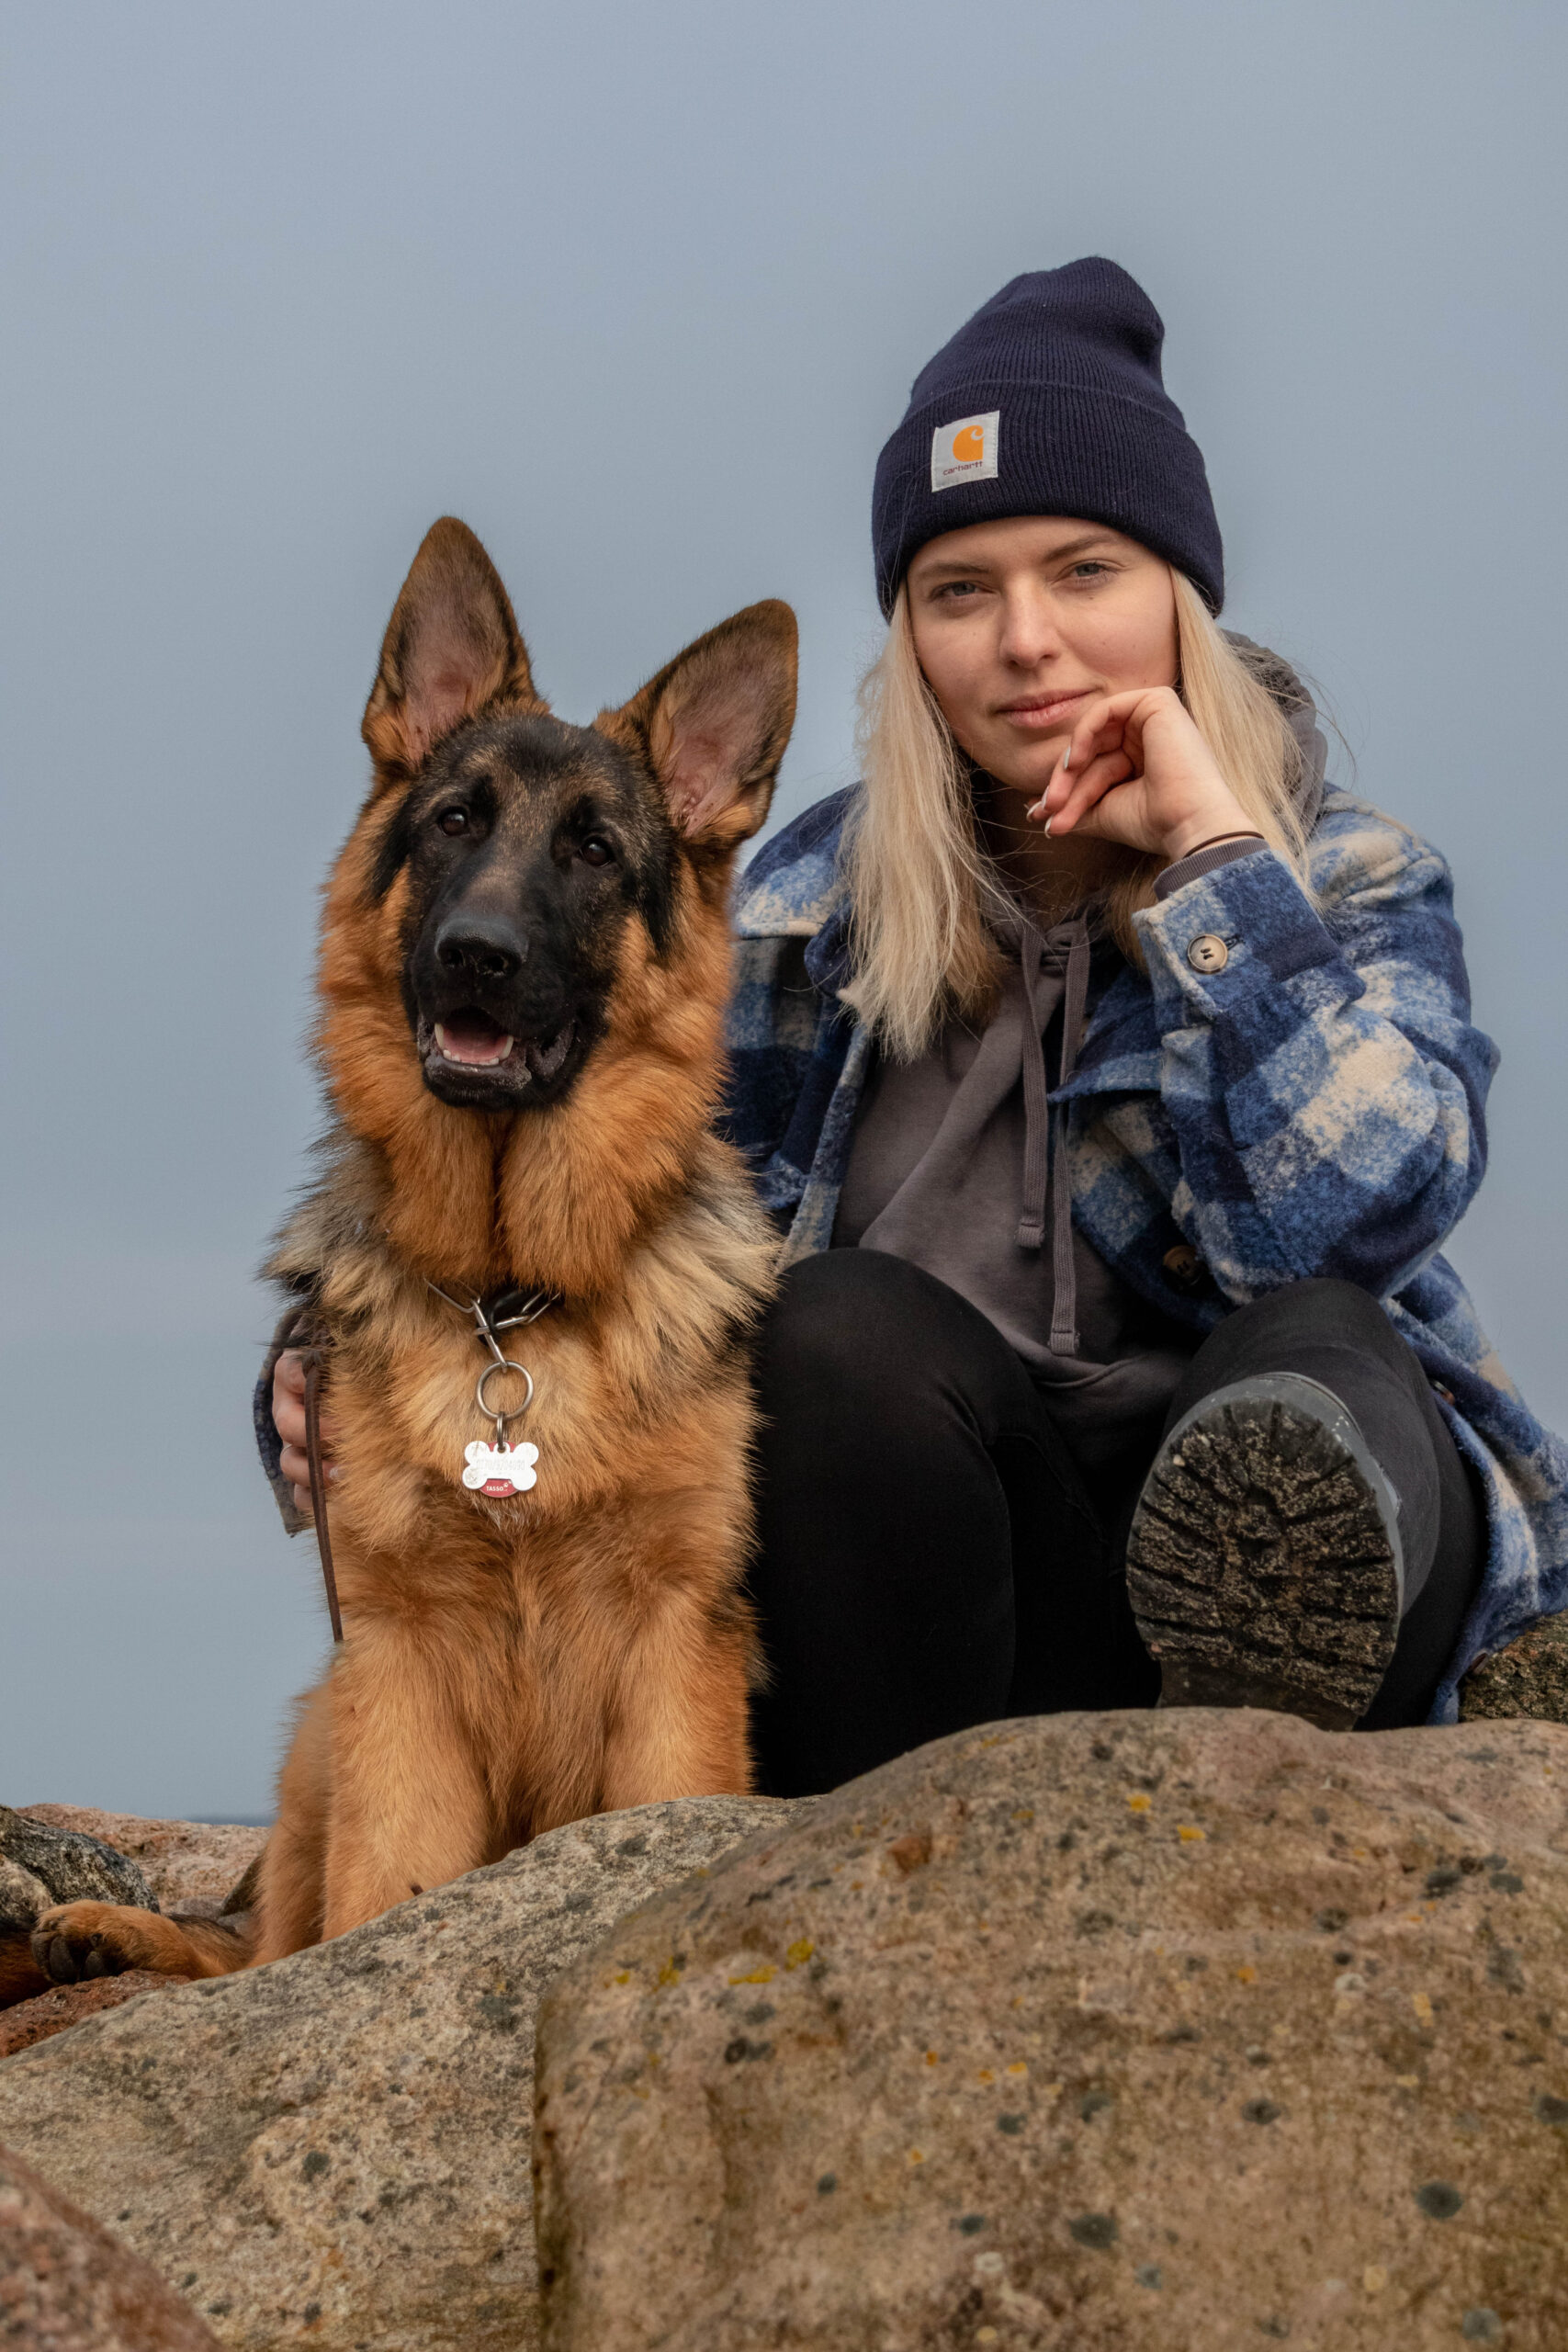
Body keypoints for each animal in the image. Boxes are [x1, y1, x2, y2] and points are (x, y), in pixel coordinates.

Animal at [33, 519, 795, 1985]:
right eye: (454, 822)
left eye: (595, 851)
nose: (475, 955)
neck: (510, 1296)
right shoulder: (396, 1668)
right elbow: (368, 1913)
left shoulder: (676, 1650)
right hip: (316, 1733)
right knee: (256, 1943)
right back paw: (108, 1932)